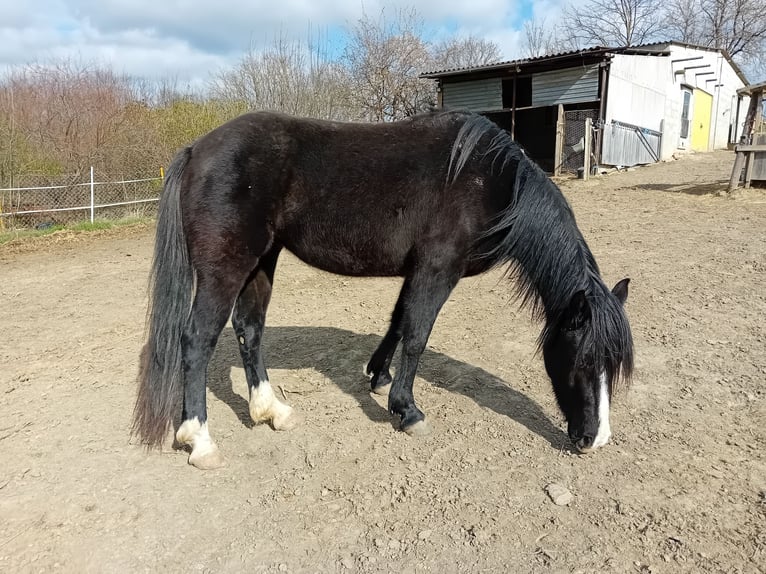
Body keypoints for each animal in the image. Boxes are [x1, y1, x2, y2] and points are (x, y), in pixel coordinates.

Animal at [134, 110, 636, 470]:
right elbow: (416, 335)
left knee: (249, 330)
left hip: (263, 259)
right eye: (584, 360)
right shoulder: (437, 268)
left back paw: (271, 411)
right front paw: (407, 410)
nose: (596, 439)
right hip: (226, 267)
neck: (488, 179)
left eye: (614, 365)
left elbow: (397, 323)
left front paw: (378, 377)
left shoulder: (418, 270)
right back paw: (200, 439)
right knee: (197, 340)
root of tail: (197, 148)